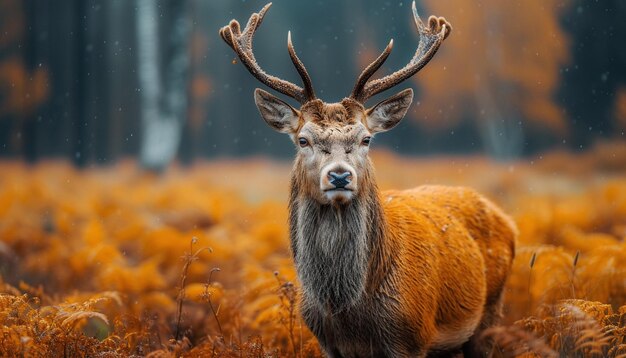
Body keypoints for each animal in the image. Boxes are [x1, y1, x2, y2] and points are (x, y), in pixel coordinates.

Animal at [222, 2, 516, 356]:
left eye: (366, 139)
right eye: (303, 139)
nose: (339, 175)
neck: (349, 312)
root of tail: (509, 221)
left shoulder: (411, 338)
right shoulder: (326, 342)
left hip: (491, 314)